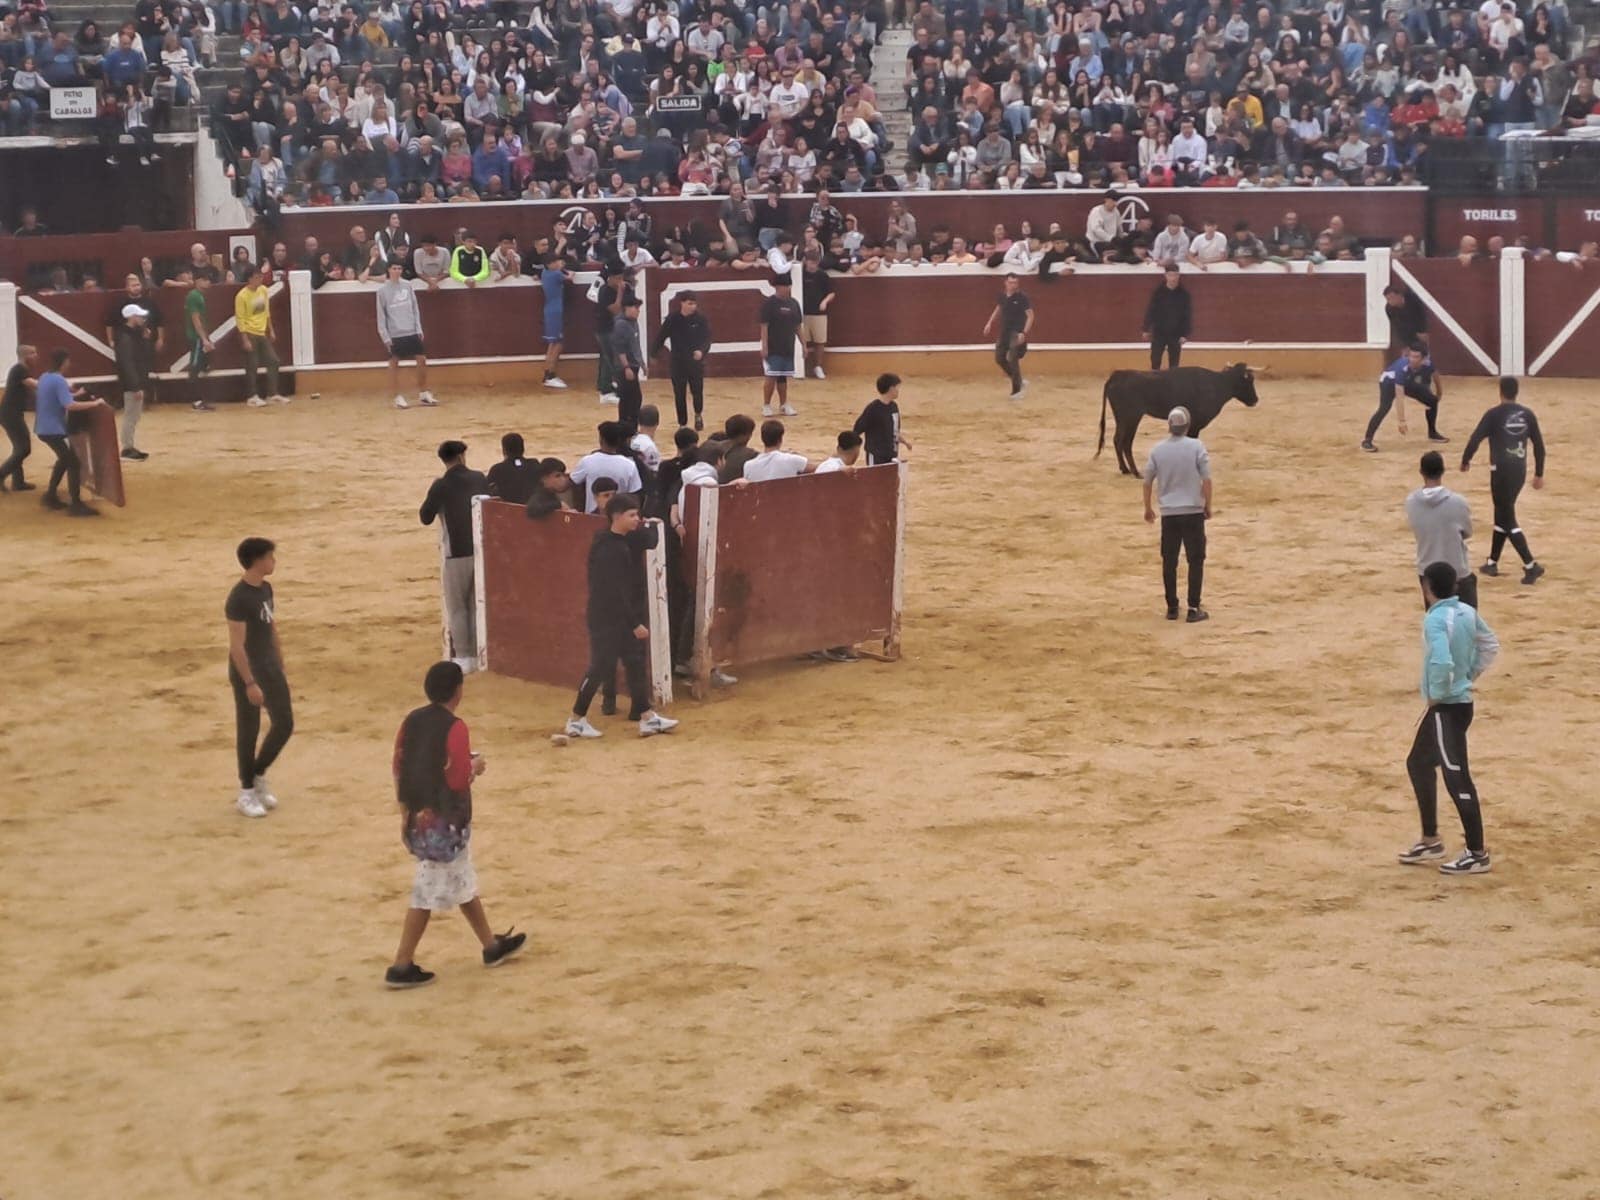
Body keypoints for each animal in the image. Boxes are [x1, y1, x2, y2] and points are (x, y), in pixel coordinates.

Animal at [1096, 364, 1263, 475]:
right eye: (1248, 381)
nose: (1255, 400)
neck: (1216, 384)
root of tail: (1117, 375)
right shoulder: (1195, 424)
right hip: (1131, 417)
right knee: (1125, 442)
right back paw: (1136, 472)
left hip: (1121, 418)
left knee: (1117, 440)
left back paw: (1125, 469)